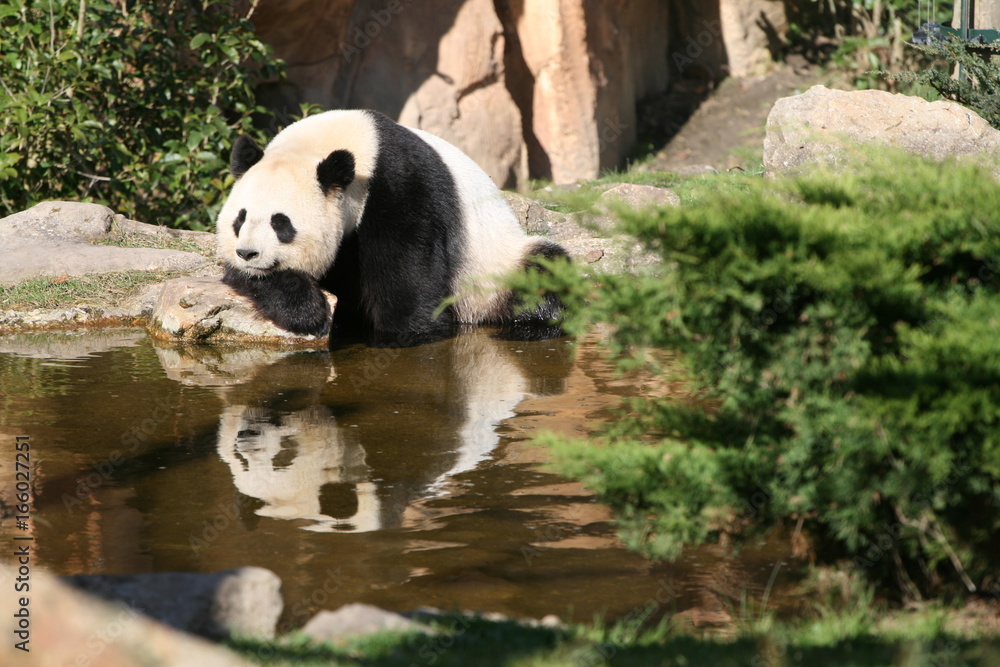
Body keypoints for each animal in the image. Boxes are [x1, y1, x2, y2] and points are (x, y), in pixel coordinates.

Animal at [216, 109, 567, 346]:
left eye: (281, 223)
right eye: (240, 219)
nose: (248, 252)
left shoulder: (401, 185)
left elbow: (408, 272)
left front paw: (403, 333)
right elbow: (246, 275)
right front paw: (304, 310)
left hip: (495, 270)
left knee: (543, 272)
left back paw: (527, 326)